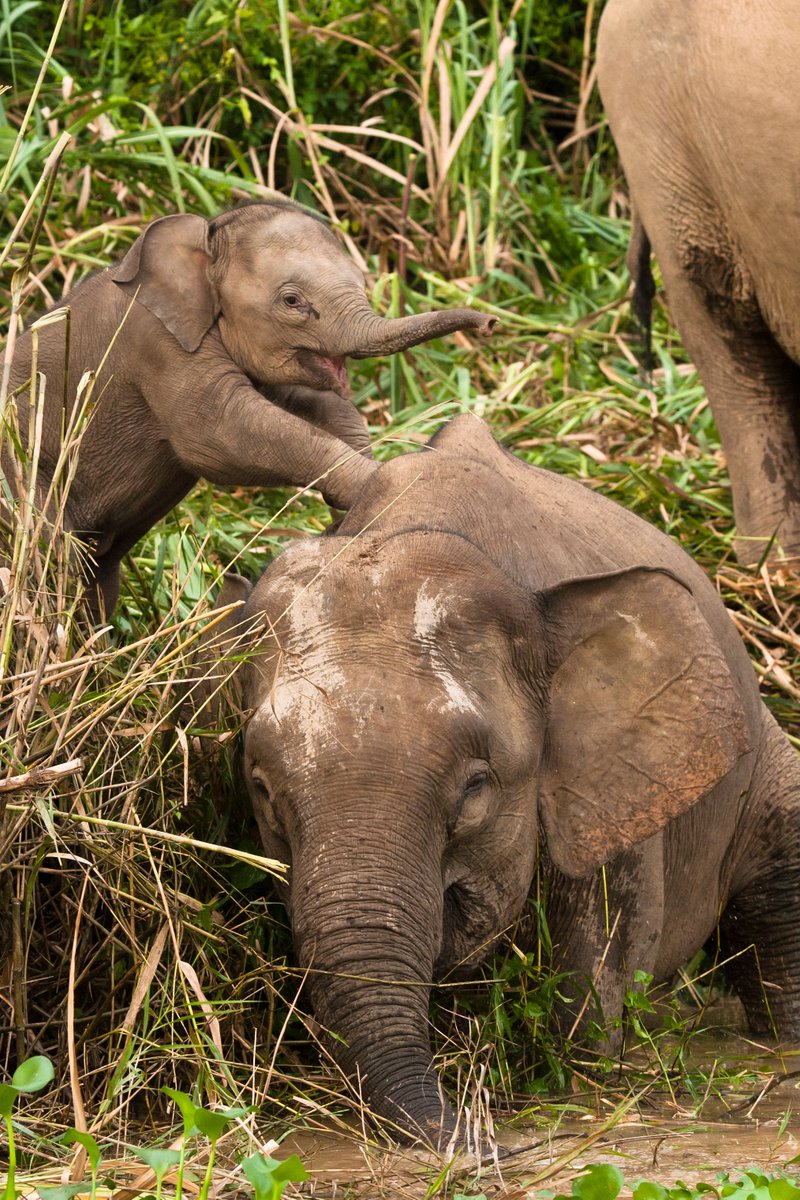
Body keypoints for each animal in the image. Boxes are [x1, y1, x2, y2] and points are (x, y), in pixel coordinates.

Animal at [1, 200, 495, 615]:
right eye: (292, 301)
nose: (490, 322)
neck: (205, 238)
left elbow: (307, 405)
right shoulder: (156, 344)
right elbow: (219, 434)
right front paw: (392, 484)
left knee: (93, 572)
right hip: (22, 474)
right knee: (52, 560)